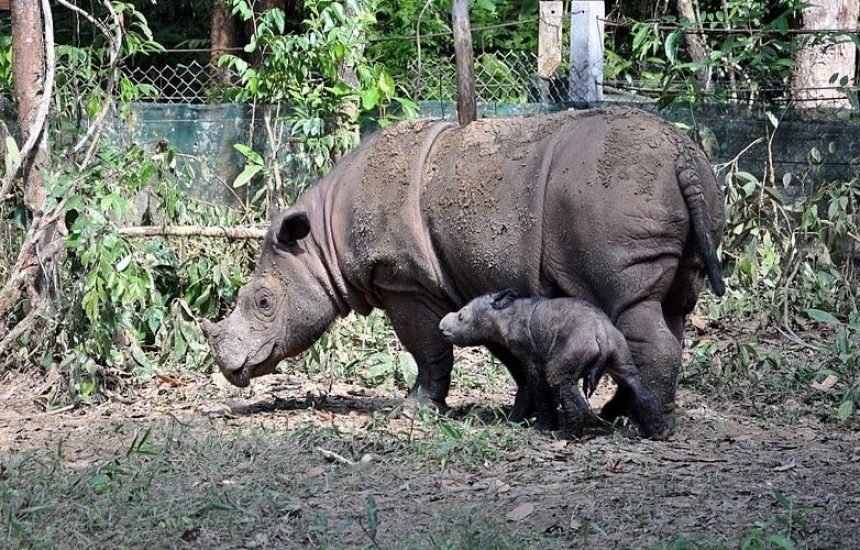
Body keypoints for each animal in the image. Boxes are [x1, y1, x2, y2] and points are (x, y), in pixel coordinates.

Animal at [439, 289, 670, 439]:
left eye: (461, 317)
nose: (441, 326)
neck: (502, 313)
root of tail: (601, 333)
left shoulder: (529, 353)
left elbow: (536, 385)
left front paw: (542, 427)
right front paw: (515, 421)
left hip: (575, 344)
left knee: (560, 379)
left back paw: (565, 436)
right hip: (618, 345)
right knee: (632, 380)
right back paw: (659, 433)